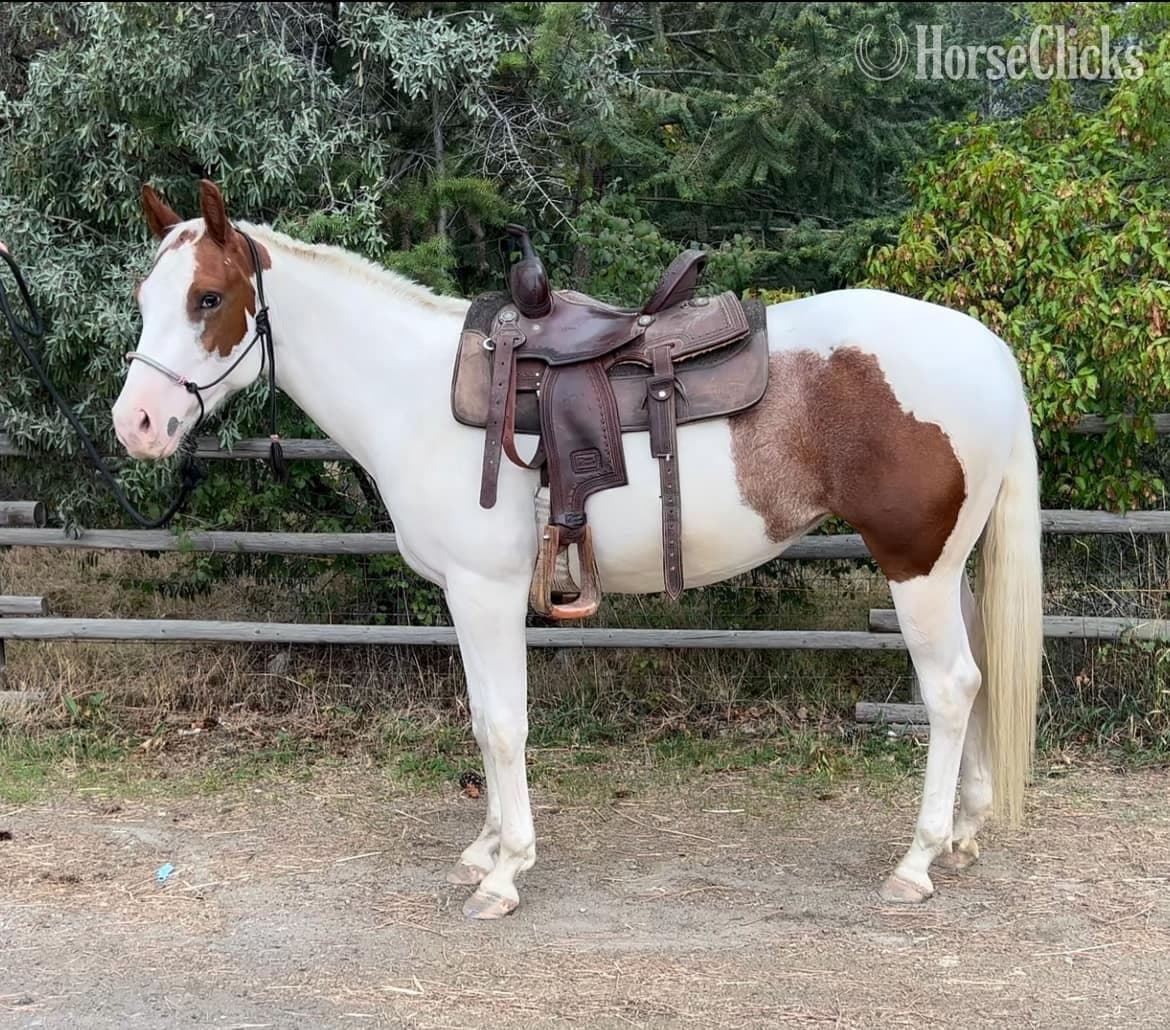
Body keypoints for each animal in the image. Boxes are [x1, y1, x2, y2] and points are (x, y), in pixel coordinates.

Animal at [111, 179, 1043, 919]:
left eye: (207, 299)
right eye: (144, 297)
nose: (137, 424)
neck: (416, 394)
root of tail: (988, 350)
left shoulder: (485, 591)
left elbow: (502, 725)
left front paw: (506, 873)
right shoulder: (465, 596)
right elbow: (482, 717)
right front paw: (485, 850)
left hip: (914, 569)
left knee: (952, 690)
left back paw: (916, 861)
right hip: (950, 569)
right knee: (979, 678)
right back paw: (962, 835)